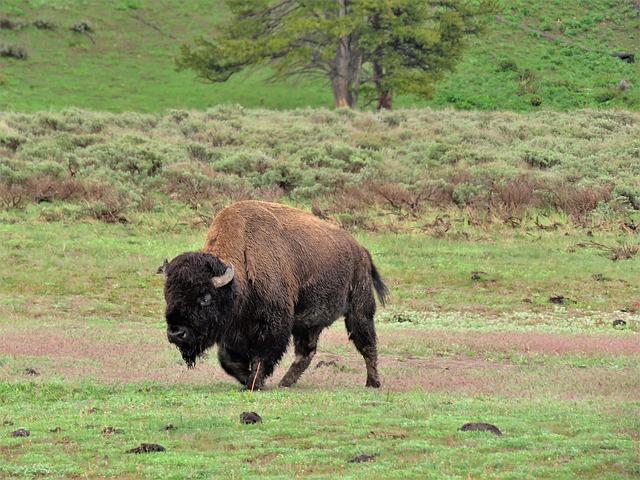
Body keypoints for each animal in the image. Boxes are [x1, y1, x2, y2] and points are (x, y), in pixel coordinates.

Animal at [159, 201, 390, 388]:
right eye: (168, 296)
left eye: (205, 298)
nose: (176, 333)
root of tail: (361, 250)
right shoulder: (234, 329)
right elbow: (227, 359)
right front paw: (247, 378)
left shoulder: (272, 324)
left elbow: (262, 354)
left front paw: (254, 382)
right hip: (308, 323)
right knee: (306, 353)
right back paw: (285, 383)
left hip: (358, 310)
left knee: (367, 343)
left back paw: (373, 383)